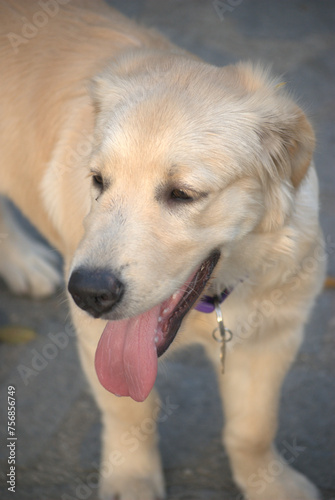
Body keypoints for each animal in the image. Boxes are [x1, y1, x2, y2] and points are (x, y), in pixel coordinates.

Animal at [0, 0, 326, 500]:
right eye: (98, 181)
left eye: (182, 194)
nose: (88, 292)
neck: (214, 302)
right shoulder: (94, 333)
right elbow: (129, 411)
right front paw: (131, 479)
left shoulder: (274, 333)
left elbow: (254, 427)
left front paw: (270, 482)